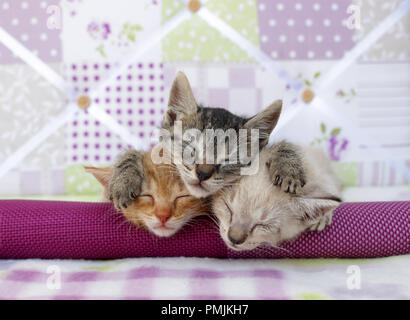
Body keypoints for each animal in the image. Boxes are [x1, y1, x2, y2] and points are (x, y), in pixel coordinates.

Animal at [109, 71, 304, 209]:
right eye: (191, 148)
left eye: (229, 159)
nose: (202, 173)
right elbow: (133, 153)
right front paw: (123, 181)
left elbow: (281, 146)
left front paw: (289, 169)